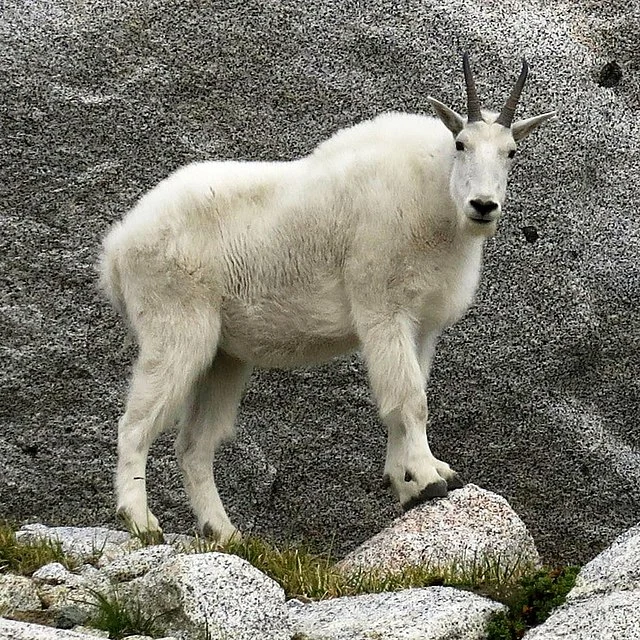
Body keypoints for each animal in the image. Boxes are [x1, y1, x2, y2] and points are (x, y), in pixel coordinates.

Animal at [99, 53, 556, 540]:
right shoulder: (382, 309)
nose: (483, 206)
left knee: (194, 445)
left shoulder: (420, 325)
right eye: (461, 144)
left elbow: (405, 399)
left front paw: (410, 484)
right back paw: (140, 521)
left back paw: (225, 532)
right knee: (135, 425)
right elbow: (410, 398)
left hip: (224, 357)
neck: (437, 201)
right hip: (176, 327)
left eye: (511, 152)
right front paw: (431, 477)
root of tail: (118, 247)